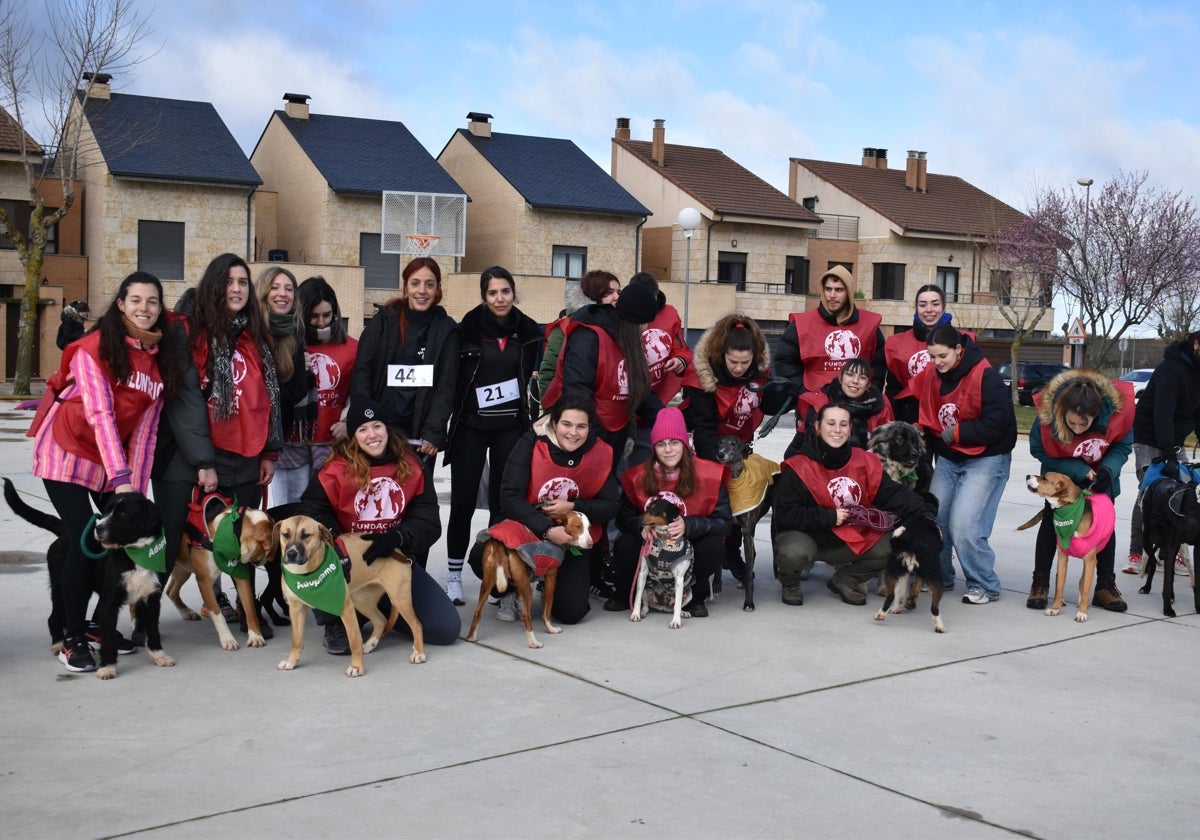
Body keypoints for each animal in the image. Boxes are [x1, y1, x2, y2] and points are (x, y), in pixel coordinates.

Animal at [165, 494, 274, 652]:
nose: (267, 560)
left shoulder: (241, 577)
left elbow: (250, 609)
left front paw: (255, 636)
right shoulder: (204, 581)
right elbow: (217, 614)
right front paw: (227, 639)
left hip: (183, 569)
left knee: (171, 591)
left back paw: (187, 612)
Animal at [274, 516, 424, 681]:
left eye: (306, 535)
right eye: (285, 535)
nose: (291, 554)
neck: (307, 575)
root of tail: (398, 552)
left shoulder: (346, 609)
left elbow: (354, 642)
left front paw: (357, 667)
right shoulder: (295, 609)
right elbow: (296, 640)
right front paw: (291, 661)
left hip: (399, 598)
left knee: (417, 625)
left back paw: (419, 652)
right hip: (362, 601)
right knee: (381, 620)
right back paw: (370, 644)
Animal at [463, 506, 590, 648]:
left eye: (589, 528)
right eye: (577, 526)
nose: (591, 543)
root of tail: (498, 543)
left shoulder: (522, 580)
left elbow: (520, 601)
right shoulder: (550, 576)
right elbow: (547, 609)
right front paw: (550, 628)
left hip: (488, 582)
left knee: (477, 612)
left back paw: (471, 637)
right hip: (525, 587)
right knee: (527, 615)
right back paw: (533, 642)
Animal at [633, 494, 700, 628]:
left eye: (655, 508)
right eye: (647, 507)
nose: (638, 518)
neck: (663, 538)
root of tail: (663, 607)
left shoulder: (679, 578)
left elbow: (677, 604)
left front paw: (676, 621)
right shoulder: (642, 572)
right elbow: (637, 596)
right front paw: (635, 614)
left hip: (689, 593)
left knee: (676, 605)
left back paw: (683, 613)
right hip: (647, 589)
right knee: (646, 605)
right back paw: (642, 612)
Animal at [1022, 472, 1113, 624]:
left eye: (1045, 478)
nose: (1027, 475)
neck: (1069, 511)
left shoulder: (1089, 561)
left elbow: (1086, 589)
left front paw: (1082, 612)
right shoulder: (1062, 558)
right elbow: (1059, 586)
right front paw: (1055, 608)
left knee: (1083, 581)